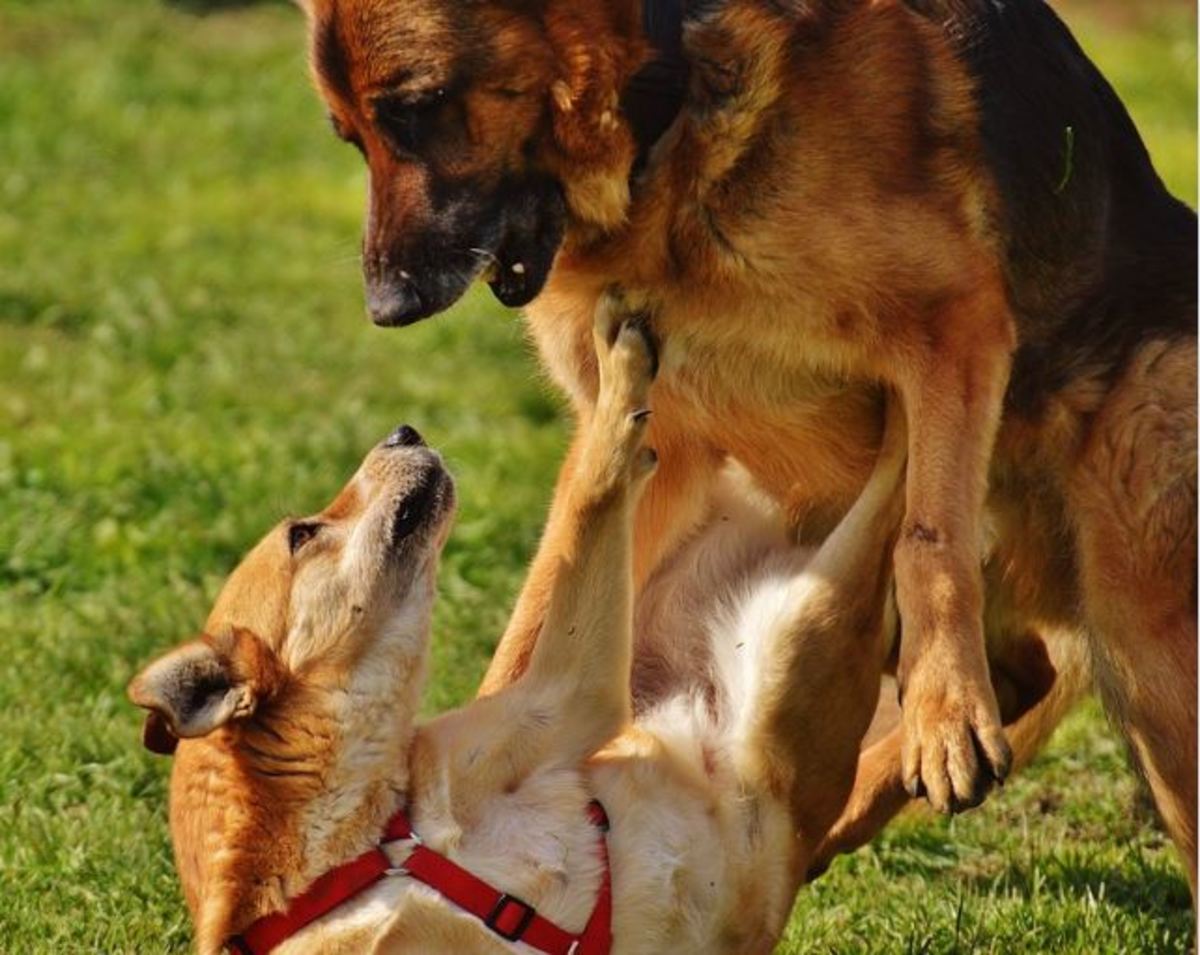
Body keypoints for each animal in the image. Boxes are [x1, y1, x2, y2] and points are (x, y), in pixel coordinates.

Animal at [129, 314, 907, 955]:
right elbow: (596, 499)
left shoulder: (559, 706)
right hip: (803, 624)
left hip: (797, 615)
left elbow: (589, 505)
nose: (402, 432)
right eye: (302, 533)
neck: (368, 845)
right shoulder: (574, 694)